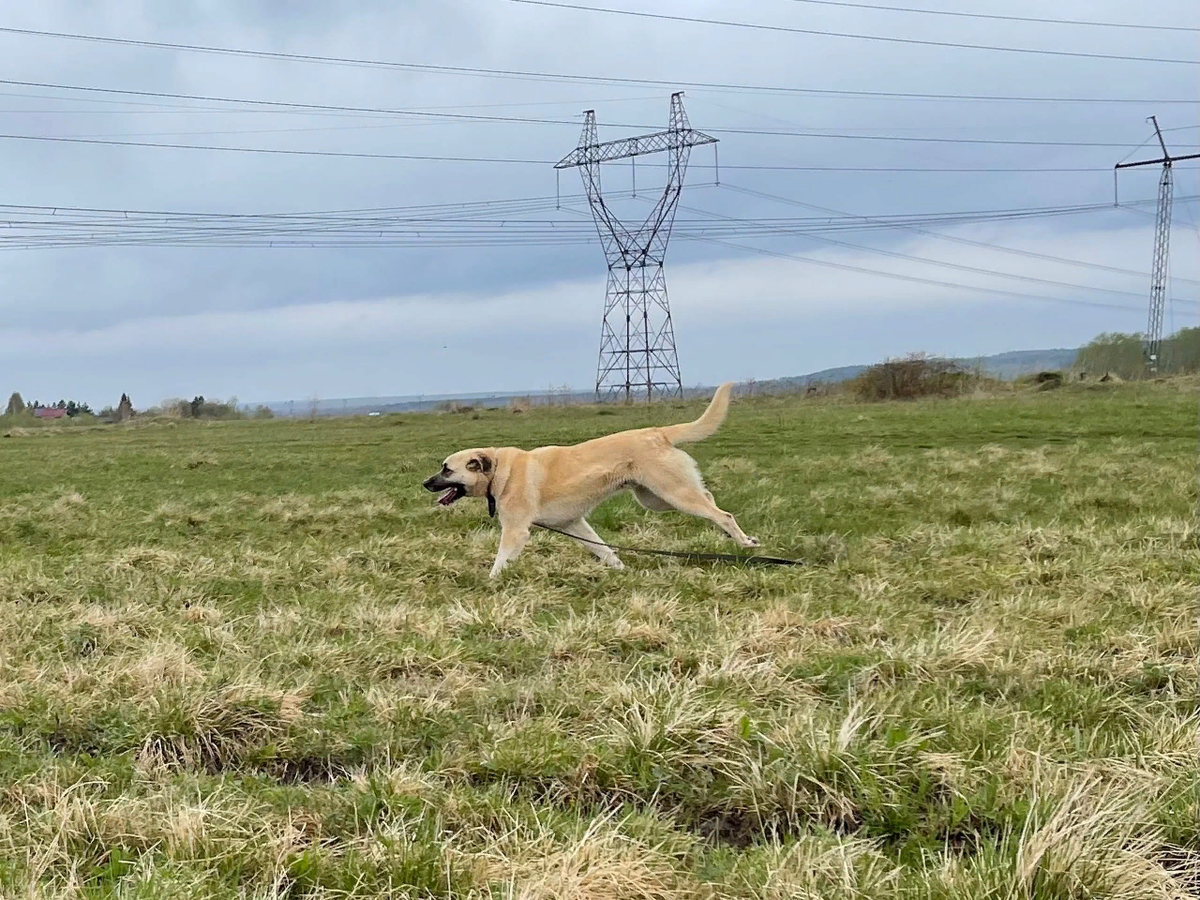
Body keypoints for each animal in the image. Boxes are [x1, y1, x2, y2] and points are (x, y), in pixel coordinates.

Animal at [424, 381, 758, 578]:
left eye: (446, 469)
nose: (425, 484)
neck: (499, 471)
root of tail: (658, 432)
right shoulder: (574, 524)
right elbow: (604, 550)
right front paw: (621, 569)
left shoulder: (516, 532)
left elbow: (500, 561)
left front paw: (490, 583)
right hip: (657, 498)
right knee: (710, 500)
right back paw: (733, 535)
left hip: (672, 494)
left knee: (722, 513)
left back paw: (743, 541)